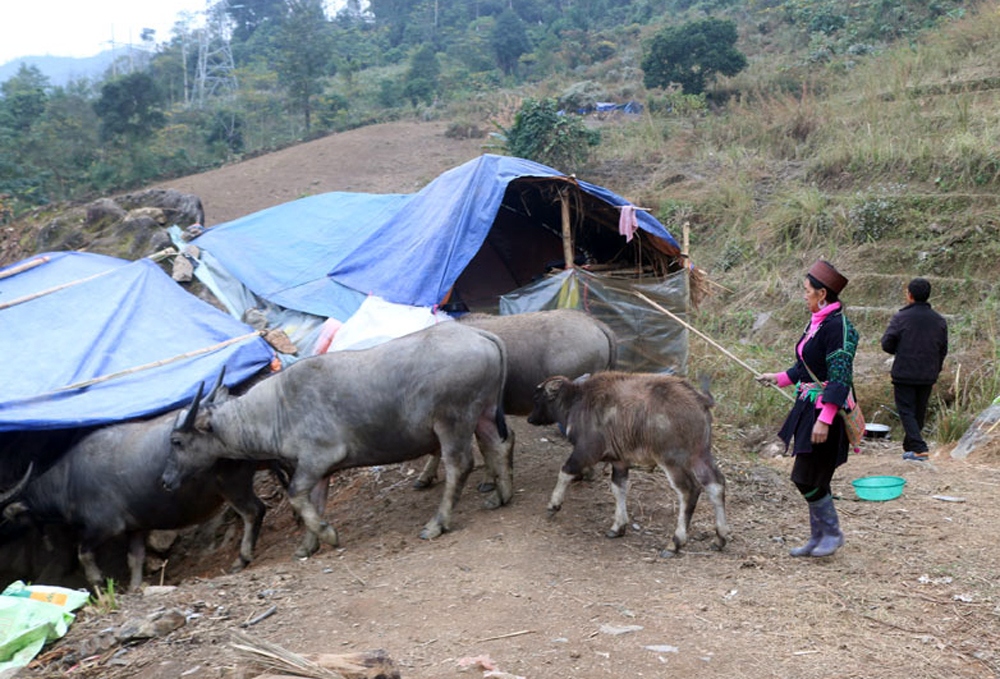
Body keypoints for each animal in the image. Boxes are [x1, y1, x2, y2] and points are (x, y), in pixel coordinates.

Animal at [0, 398, 266, 588]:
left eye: (3, 519)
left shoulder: (105, 527)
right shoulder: (136, 528)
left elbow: (83, 553)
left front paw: (99, 584)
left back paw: (242, 558)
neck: (67, 481)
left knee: (254, 511)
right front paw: (135, 587)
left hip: (232, 484)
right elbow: (135, 559)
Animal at [162, 322, 516, 556]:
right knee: (497, 444)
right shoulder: (319, 472)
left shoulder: (317, 460)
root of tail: (478, 334)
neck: (277, 409)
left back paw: (437, 523)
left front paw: (327, 534)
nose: (165, 480)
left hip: (452, 421)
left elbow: (295, 494)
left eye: (176, 441)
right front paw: (308, 544)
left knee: (460, 465)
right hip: (484, 413)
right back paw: (501, 495)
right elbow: (314, 501)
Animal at [528, 372, 732, 556]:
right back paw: (720, 538)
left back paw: (675, 543)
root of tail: (699, 399)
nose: (530, 418)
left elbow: (565, 471)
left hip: (673, 460)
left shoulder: (586, 451)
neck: (577, 402)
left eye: (538, 397)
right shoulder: (620, 462)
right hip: (700, 455)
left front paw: (553, 505)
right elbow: (618, 488)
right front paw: (618, 526)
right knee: (716, 483)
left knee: (689, 491)